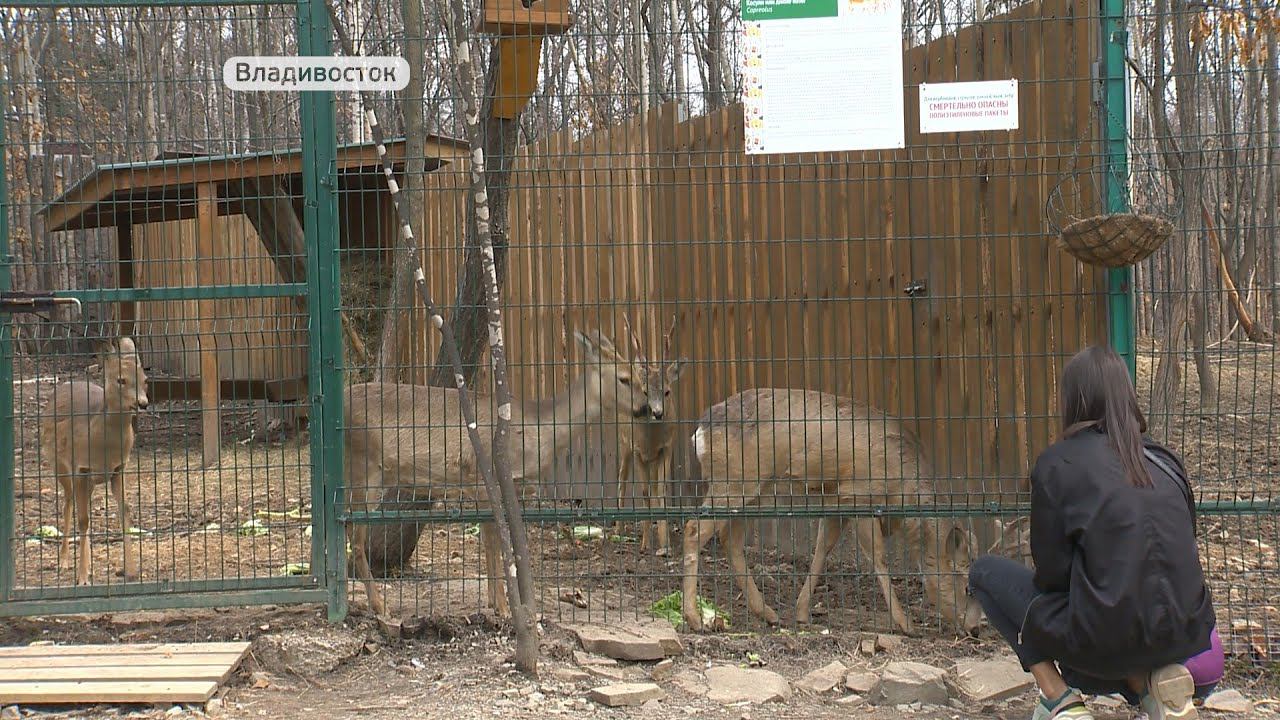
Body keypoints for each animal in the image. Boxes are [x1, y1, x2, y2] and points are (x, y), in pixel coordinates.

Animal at [41, 335, 149, 584]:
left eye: (145, 379)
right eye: (120, 379)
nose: (142, 403)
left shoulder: (119, 468)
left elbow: (125, 513)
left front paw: (130, 571)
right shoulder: (81, 467)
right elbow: (83, 520)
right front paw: (82, 577)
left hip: (88, 480)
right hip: (59, 465)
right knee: (69, 504)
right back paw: (64, 561)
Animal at [343, 327, 650, 614]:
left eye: (641, 377)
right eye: (624, 378)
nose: (647, 409)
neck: (534, 430)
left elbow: (493, 541)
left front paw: (494, 601)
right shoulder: (484, 474)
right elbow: (497, 543)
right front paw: (503, 606)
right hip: (364, 469)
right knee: (354, 537)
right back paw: (378, 604)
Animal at [611, 311, 691, 550]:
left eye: (667, 391)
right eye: (645, 392)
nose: (658, 413)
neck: (651, 440)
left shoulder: (667, 447)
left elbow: (661, 491)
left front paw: (665, 545)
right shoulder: (638, 449)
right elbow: (645, 492)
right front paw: (646, 543)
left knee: (655, 486)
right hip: (623, 442)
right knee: (622, 478)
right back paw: (618, 530)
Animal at [686, 386, 983, 632]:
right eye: (968, 587)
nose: (974, 629)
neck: (901, 487)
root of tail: (700, 431)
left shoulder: (834, 499)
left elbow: (822, 549)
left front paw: (802, 613)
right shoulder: (859, 494)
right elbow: (878, 557)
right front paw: (906, 624)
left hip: (752, 489)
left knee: (730, 540)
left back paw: (767, 613)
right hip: (734, 481)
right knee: (694, 529)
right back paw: (696, 619)